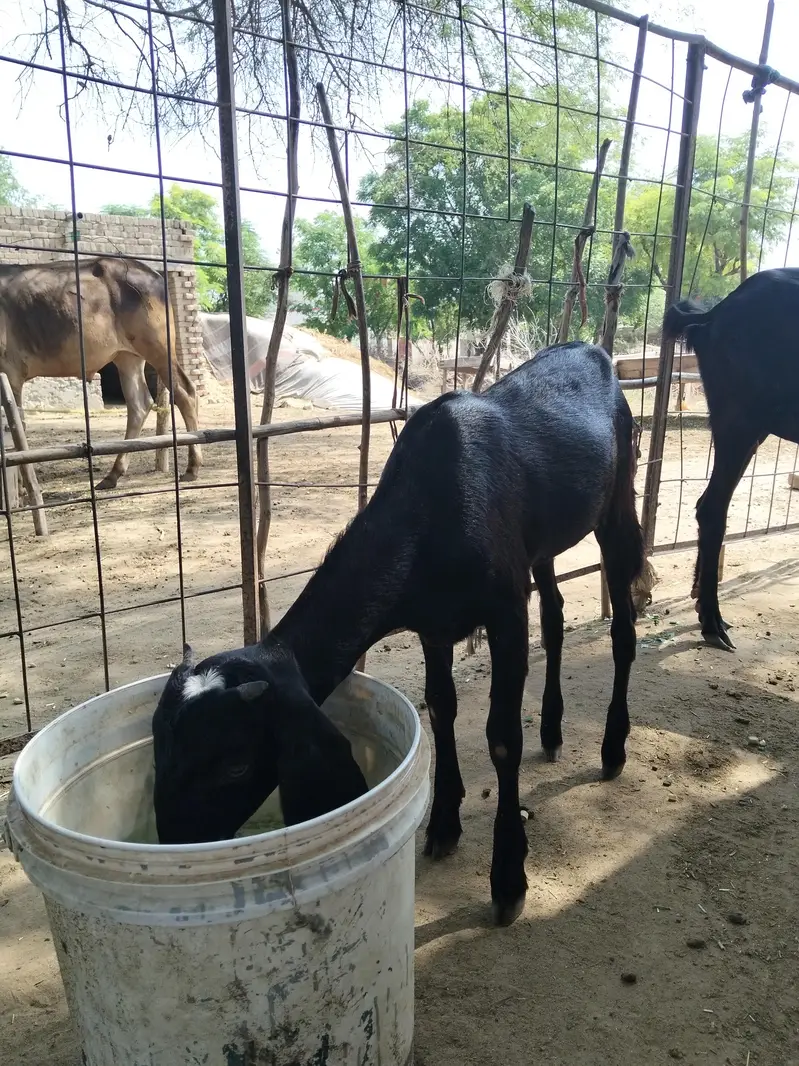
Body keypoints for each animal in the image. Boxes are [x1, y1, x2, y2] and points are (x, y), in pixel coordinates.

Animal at [153, 341, 644, 926]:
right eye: (157, 749)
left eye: (235, 764)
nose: (175, 848)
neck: (429, 509)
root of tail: (593, 351)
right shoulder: (434, 624)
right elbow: (441, 708)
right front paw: (443, 825)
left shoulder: (504, 609)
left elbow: (502, 738)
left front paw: (508, 881)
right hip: (542, 546)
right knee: (555, 617)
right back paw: (551, 730)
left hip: (618, 500)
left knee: (623, 627)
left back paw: (613, 748)